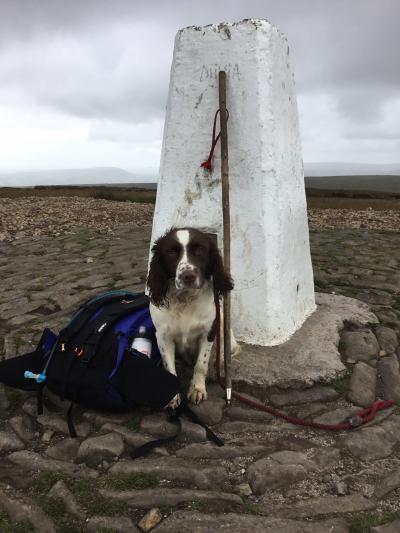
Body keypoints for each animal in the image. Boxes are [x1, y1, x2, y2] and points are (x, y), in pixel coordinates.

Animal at [147, 224, 238, 404]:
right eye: (171, 252)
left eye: (200, 250)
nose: (188, 276)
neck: (185, 299)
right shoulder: (162, 336)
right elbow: (169, 368)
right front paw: (172, 395)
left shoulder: (208, 332)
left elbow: (201, 364)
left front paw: (197, 389)